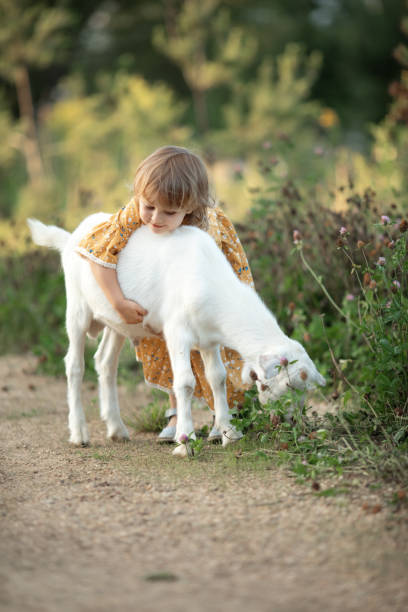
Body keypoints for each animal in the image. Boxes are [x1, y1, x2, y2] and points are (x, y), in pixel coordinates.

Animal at [27, 213, 326, 456]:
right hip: (77, 309)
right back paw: (79, 434)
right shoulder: (177, 332)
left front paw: (228, 433)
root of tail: (71, 238)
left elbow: (217, 378)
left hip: (117, 320)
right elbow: (185, 382)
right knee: (74, 365)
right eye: (288, 386)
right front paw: (185, 442)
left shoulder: (209, 340)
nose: (292, 422)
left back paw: (117, 429)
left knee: (105, 362)